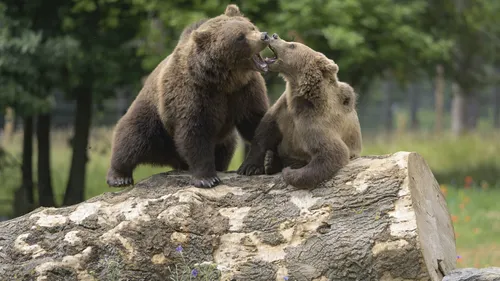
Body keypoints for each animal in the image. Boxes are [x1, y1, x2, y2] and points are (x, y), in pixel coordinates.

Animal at [104, 4, 270, 187]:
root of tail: (171, 159)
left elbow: (256, 120)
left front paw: (254, 166)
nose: (264, 36)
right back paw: (119, 176)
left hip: (223, 137)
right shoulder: (195, 92)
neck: (225, 80)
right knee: (132, 137)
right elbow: (195, 131)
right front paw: (207, 178)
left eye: (251, 26)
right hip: (154, 119)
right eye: (240, 37)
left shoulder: (245, 90)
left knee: (225, 148)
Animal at [236, 33, 362, 188]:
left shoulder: (315, 121)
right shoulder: (283, 110)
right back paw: (269, 161)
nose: (273, 35)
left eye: (292, 45)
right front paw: (248, 167)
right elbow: (263, 133)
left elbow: (331, 153)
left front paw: (290, 173)